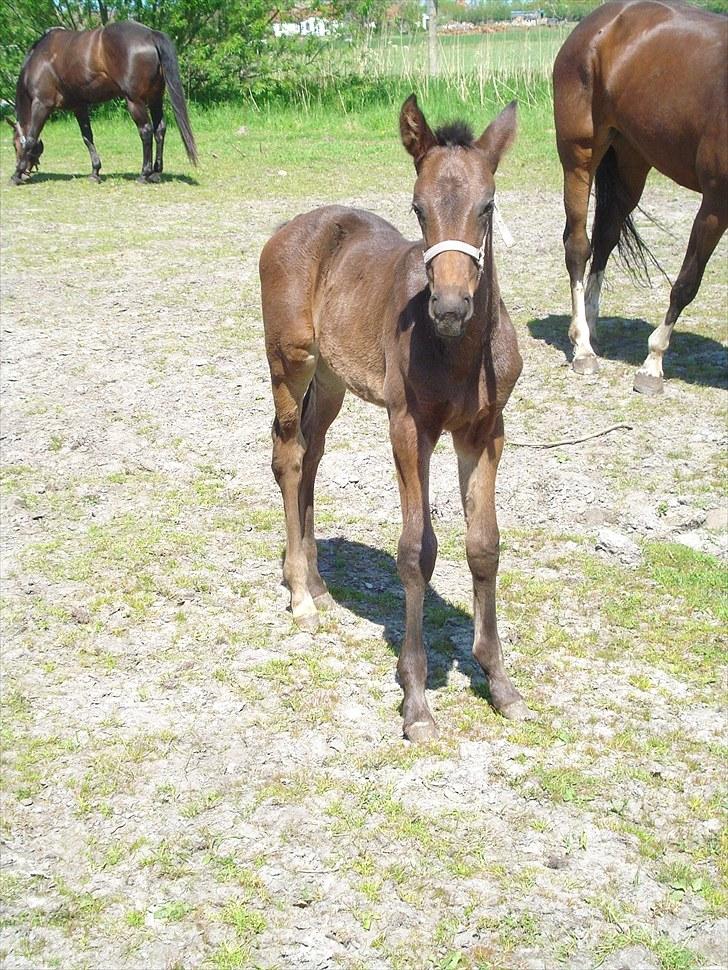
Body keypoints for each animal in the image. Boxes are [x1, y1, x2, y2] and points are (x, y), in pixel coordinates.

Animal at [7, 21, 199, 185]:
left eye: (15, 145)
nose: (26, 173)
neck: (40, 59)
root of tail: (150, 34)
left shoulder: (41, 104)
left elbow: (30, 138)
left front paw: (15, 175)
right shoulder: (79, 107)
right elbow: (87, 137)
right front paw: (95, 172)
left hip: (135, 101)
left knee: (146, 131)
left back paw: (144, 174)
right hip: (155, 99)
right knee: (160, 130)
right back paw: (156, 173)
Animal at [258, 94, 528, 736]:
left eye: (488, 205)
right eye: (417, 207)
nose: (451, 307)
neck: (456, 352)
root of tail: (292, 228)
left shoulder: (486, 432)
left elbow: (484, 545)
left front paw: (499, 682)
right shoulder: (409, 428)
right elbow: (416, 551)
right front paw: (417, 699)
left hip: (332, 380)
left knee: (311, 456)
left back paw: (316, 582)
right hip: (290, 364)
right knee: (288, 457)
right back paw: (300, 595)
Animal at [556, 0, 724, 394]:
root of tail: (598, 24)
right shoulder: (715, 203)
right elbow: (687, 283)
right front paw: (652, 365)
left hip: (631, 163)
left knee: (604, 239)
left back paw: (591, 327)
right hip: (579, 158)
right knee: (578, 247)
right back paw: (583, 348)